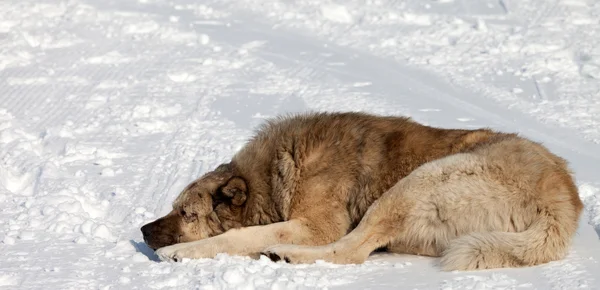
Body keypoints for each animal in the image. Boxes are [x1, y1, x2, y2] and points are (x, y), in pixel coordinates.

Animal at [141, 111, 580, 270]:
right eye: (173, 208)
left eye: (187, 214)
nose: (144, 231)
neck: (273, 175)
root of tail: (563, 202)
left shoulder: (317, 227)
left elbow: (238, 236)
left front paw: (182, 252)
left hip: (419, 182)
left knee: (352, 251)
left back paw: (286, 255)